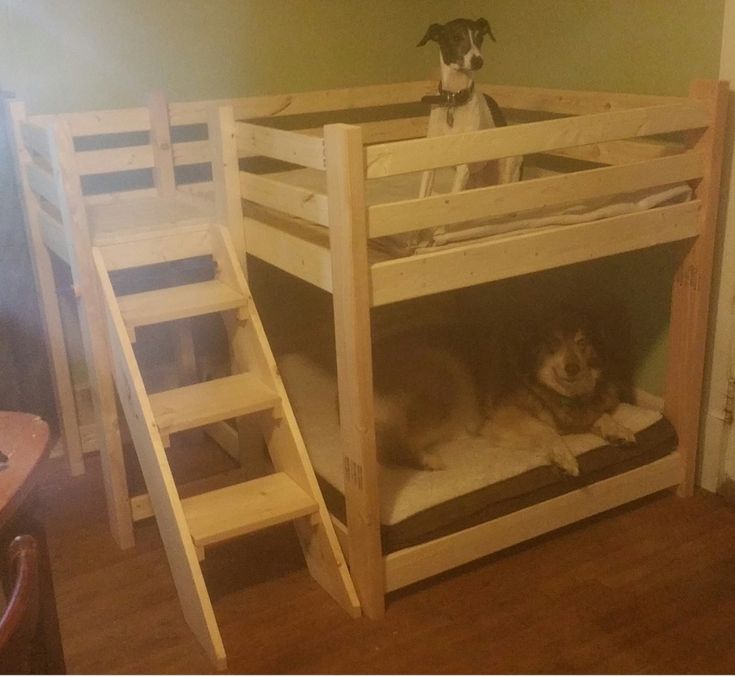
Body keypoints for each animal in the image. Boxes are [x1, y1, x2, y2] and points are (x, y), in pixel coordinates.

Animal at [420, 17, 524, 197]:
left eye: (479, 38)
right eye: (456, 37)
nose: (478, 60)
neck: (453, 100)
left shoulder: (463, 167)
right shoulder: (430, 161)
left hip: (508, 169)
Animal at [484, 306, 640, 476]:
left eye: (581, 341)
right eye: (555, 341)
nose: (572, 369)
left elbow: (600, 415)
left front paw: (617, 430)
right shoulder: (503, 416)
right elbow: (546, 430)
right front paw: (564, 458)